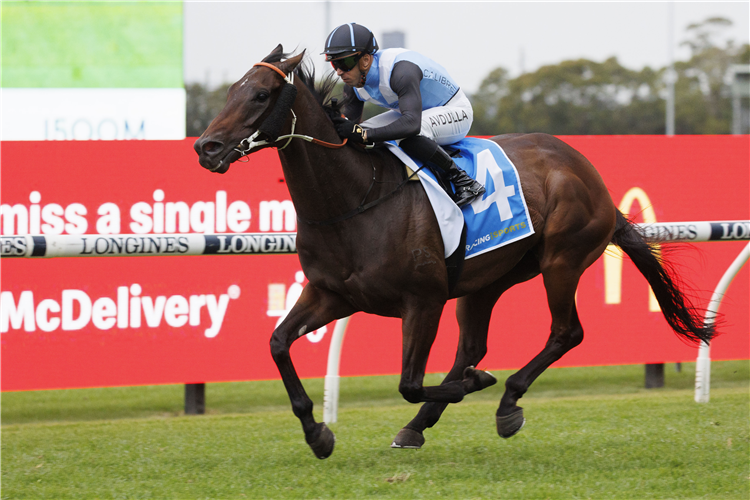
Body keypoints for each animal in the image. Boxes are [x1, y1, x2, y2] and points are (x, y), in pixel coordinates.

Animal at [194, 45, 716, 458]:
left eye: (261, 95)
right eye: (230, 92)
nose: (206, 147)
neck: (353, 201)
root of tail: (587, 172)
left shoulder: (422, 300)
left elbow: (407, 382)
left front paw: (477, 384)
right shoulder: (332, 294)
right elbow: (278, 343)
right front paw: (318, 434)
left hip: (561, 260)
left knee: (566, 332)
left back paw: (505, 401)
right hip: (488, 278)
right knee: (473, 345)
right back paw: (420, 425)